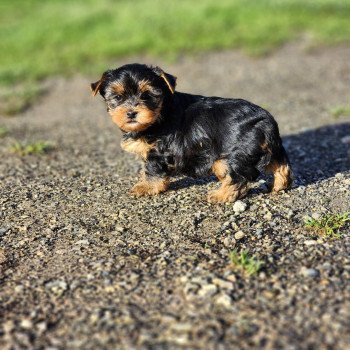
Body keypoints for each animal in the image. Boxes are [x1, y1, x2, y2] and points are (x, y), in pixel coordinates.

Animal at [91, 63, 292, 202]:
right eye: (118, 97)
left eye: (147, 95)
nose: (132, 113)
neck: (161, 113)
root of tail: (266, 122)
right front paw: (143, 180)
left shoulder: (159, 152)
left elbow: (153, 170)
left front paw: (146, 187)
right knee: (281, 164)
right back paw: (279, 186)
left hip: (231, 156)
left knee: (238, 177)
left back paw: (221, 196)